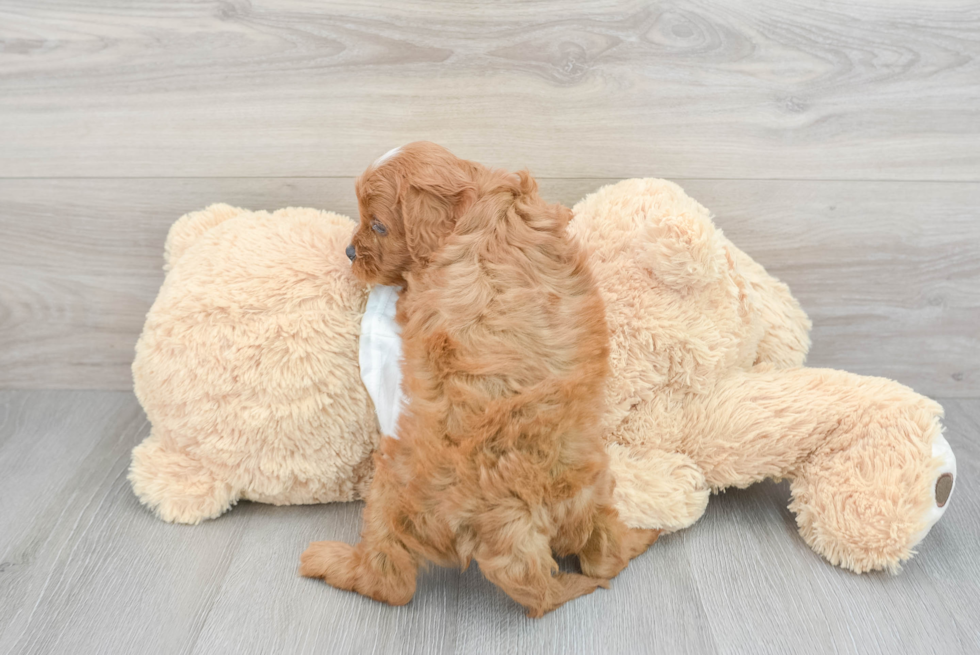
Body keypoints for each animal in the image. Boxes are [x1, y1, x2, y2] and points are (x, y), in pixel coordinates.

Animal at [298, 141, 660, 616]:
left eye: (378, 225)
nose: (349, 252)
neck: (481, 208)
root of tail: (515, 524)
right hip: (595, 486)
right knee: (605, 556)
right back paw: (642, 537)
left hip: (392, 482)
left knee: (389, 580)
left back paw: (327, 561)